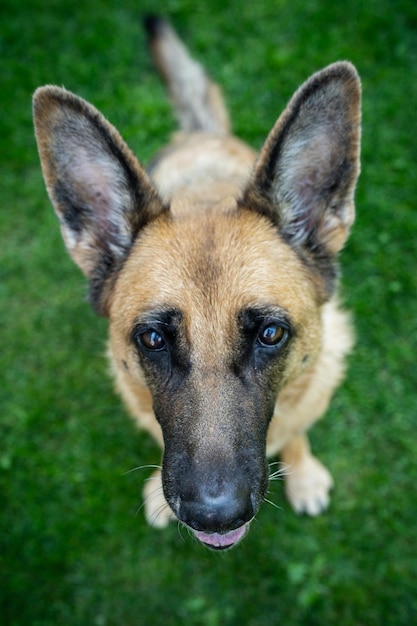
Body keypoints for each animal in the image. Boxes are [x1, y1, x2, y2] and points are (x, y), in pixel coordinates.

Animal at [32, 17, 360, 548]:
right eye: (152, 338)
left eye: (271, 334)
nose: (215, 517)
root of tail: (200, 136)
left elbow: (296, 430)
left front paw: (304, 471)